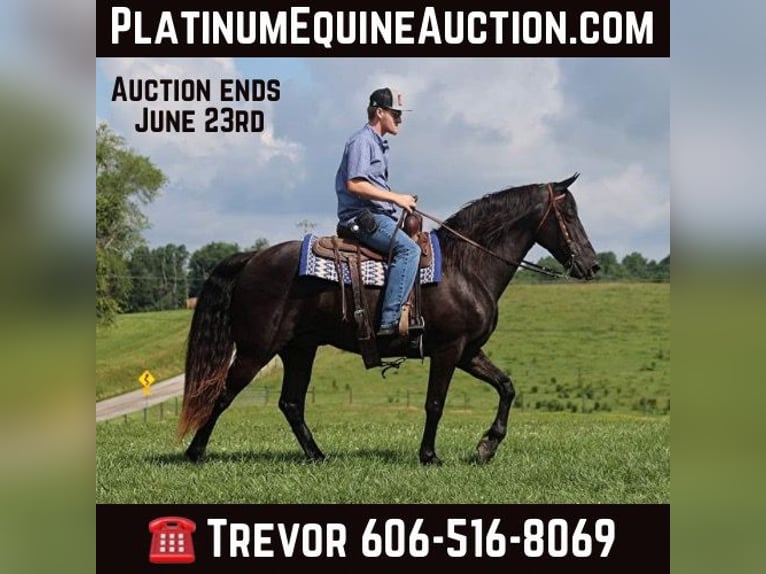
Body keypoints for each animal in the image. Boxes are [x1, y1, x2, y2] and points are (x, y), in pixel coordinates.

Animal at [178, 173, 599, 465]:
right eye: (568, 213)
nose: (592, 265)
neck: (467, 266)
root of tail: (251, 258)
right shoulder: (448, 350)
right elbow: (435, 403)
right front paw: (430, 456)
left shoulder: (468, 351)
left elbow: (507, 387)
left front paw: (485, 447)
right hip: (256, 350)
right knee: (223, 393)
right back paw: (195, 452)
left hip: (300, 350)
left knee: (291, 404)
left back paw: (318, 455)